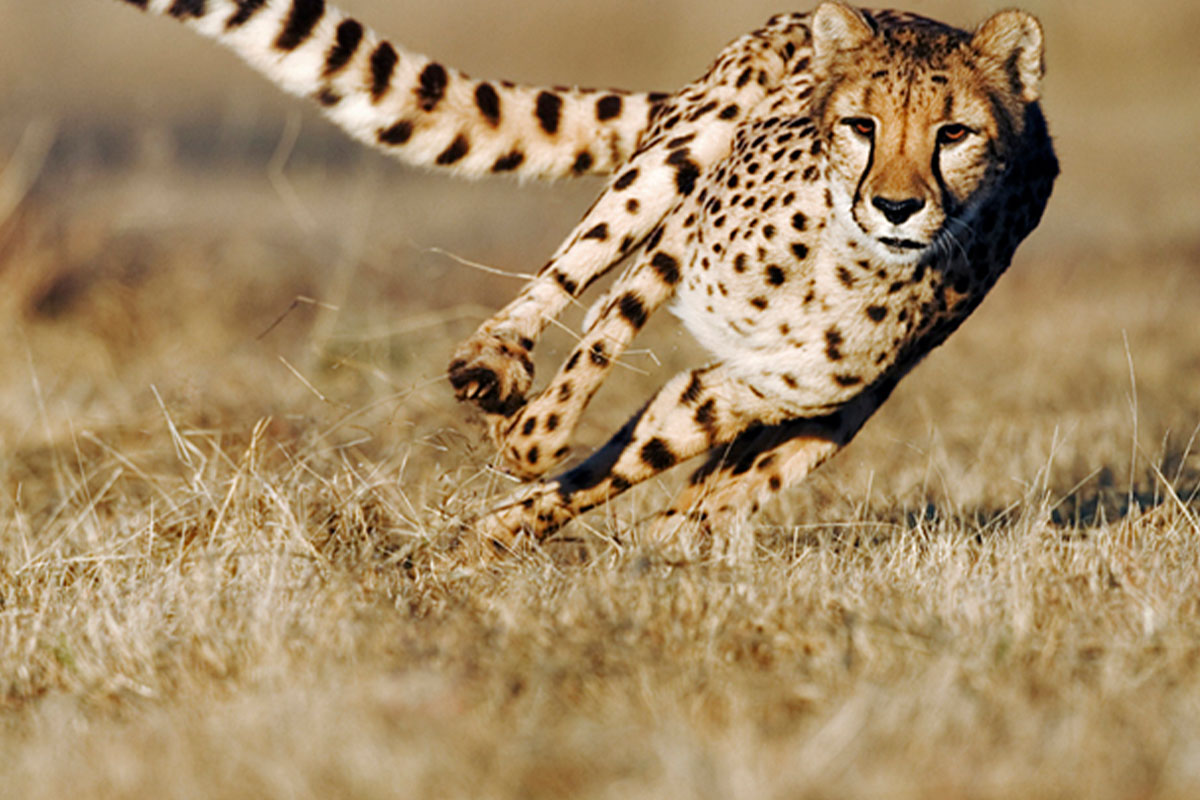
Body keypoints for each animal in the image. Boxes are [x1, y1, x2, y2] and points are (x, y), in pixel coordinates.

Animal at [116, 0, 1058, 557]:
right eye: (862, 125)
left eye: (954, 134)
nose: (898, 206)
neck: (843, 258)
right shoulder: (679, 237)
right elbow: (605, 335)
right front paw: (525, 438)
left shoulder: (755, 389)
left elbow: (650, 450)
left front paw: (545, 524)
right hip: (683, 146)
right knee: (570, 275)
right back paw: (496, 369)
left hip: (850, 397)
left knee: (743, 466)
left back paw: (648, 534)